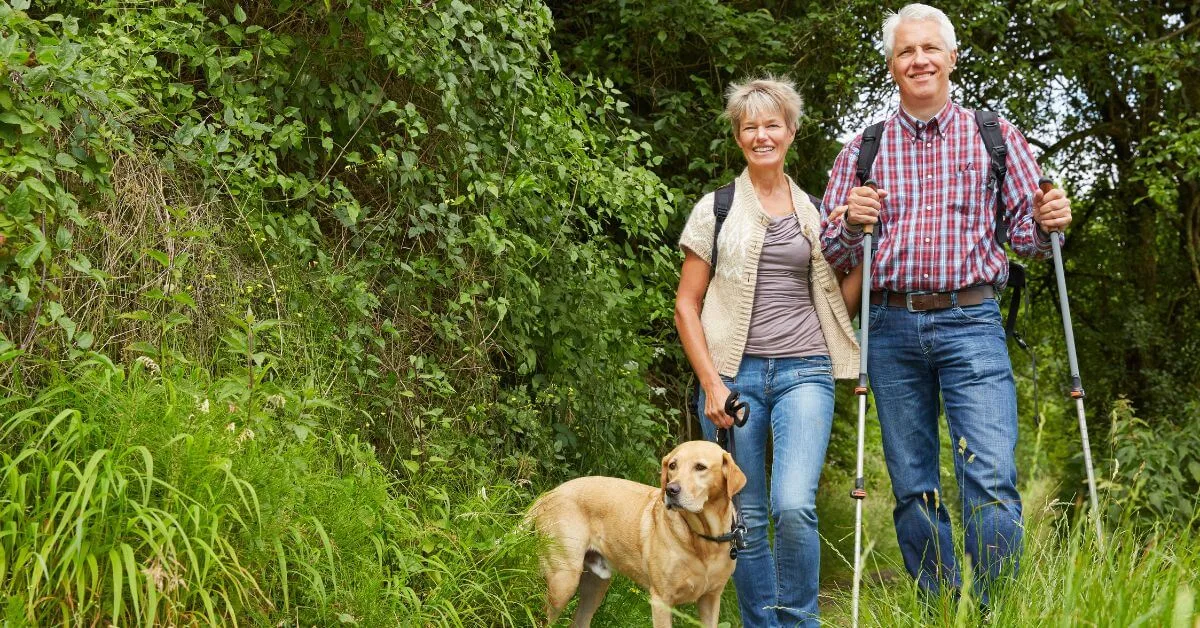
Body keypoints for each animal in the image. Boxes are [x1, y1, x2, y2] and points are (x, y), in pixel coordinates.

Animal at [530, 441, 744, 628]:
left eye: (700, 467)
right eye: (673, 465)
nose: (671, 490)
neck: (705, 540)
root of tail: (549, 494)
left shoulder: (711, 598)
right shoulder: (661, 600)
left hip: (596, 584)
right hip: (563, 582)